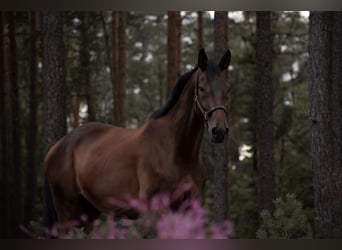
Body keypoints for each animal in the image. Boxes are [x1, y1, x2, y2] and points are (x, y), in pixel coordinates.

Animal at [44, 47, 231, 229]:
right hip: (67, 211)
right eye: (202, 88)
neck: (177, 151)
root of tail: (57, 147)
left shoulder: (191, 208)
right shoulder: (156, 210)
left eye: (226, 90)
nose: (219, 130)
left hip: (89, 212)